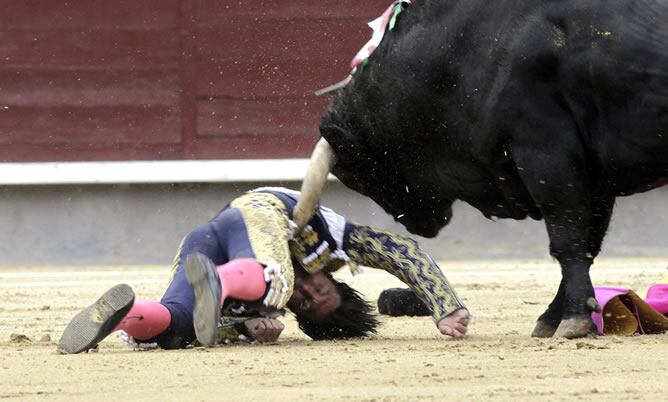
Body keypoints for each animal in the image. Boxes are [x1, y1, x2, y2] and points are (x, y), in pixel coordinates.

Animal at [294, 0, 664, 336]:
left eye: (360, 173)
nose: (413, 223)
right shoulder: (594, 176)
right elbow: (586, 243)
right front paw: (554, 317)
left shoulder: (546, 152)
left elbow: (567, 238)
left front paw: (572, 319)